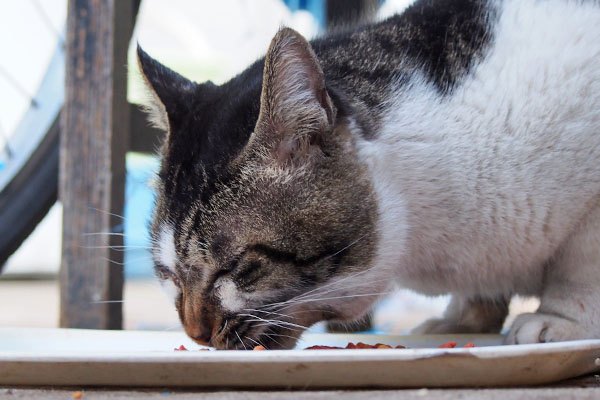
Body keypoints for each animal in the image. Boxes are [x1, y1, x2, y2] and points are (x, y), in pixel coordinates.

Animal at [138, 0, 600, 348]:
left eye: (233, 268)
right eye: (169, 275)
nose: (194, 334)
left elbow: (581, 265)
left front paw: (563, 321)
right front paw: (464, 317)